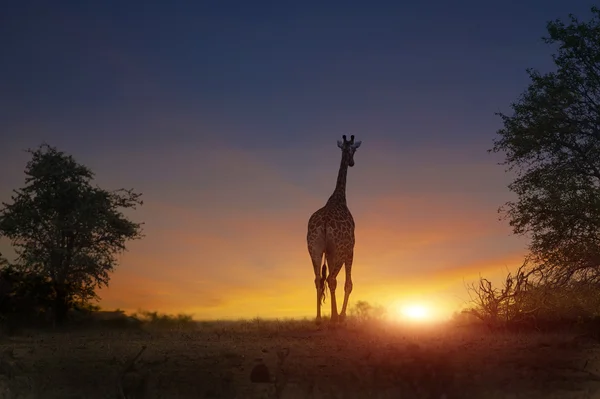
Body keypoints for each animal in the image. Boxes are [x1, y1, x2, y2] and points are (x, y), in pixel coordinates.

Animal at [308, 134, 358, 324]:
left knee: (318, 279)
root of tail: (324, 222)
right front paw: (341, 316)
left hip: (313, 248)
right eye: (353, 149)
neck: (339, 198)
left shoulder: (328, 252)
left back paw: (319, 318)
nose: (351, 162)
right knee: (331, 278)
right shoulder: (350, 249)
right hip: (340, 250)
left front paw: (332, 314)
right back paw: (335, 318)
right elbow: (348, 284)